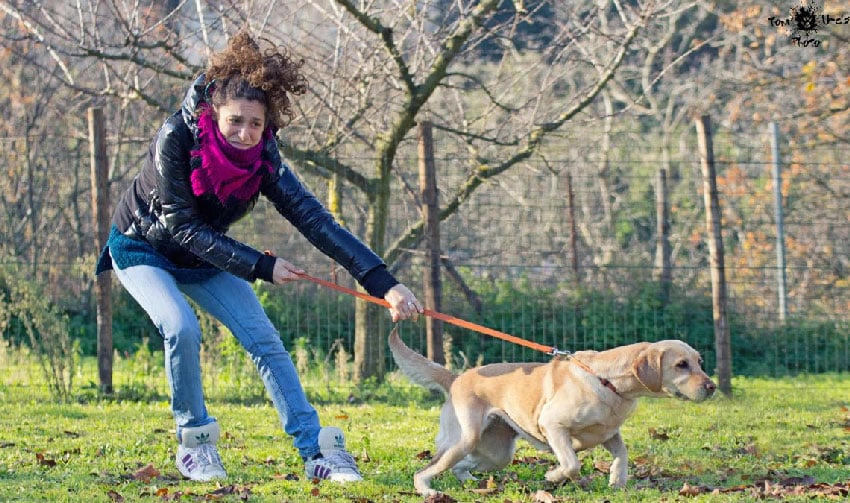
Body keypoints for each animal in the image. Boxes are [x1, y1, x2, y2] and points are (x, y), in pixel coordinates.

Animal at [388, 326, 712, 496]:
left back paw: (473, 484)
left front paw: (616, 481)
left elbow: (622, 455)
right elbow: (571, 463)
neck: (608, 382)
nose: (711, 387)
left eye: (699, 362)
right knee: (427, 469)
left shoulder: (609, 434)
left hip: (496, 453)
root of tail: (456, 378)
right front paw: (554, 476)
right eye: (681, 365)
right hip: (464, 439)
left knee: (460, 466)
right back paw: (427, 491)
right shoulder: (553, 426)